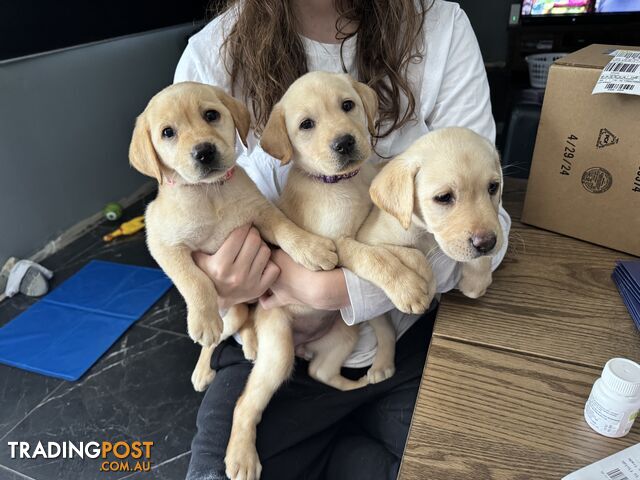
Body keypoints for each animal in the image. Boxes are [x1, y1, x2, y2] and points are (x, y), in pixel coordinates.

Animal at [129, 82, 340, 390]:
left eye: (211, 115)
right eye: (167, 132)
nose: (204, 152)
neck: (210, 192)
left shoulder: (262, 213)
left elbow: (287, 230)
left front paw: (312, 249)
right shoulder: (162, 244)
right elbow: (193, 279)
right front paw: (203, 321)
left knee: (248, 318)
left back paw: (252, 345)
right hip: (230, 311)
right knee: (220, 334)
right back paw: (204, 367)